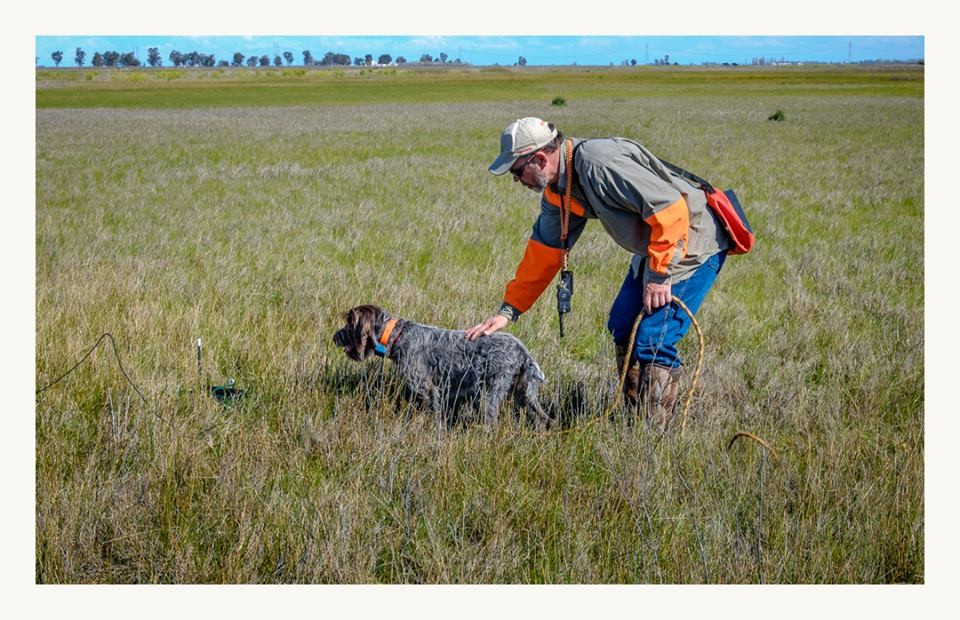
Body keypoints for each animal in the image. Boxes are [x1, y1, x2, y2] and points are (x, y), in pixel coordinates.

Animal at [334, 306, 552, 432]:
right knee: (543, 418)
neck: (398, 336)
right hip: (525, 394)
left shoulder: (426, 388)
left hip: (488, 395)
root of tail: (522, 351)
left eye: (349, 324)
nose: (335, 336)